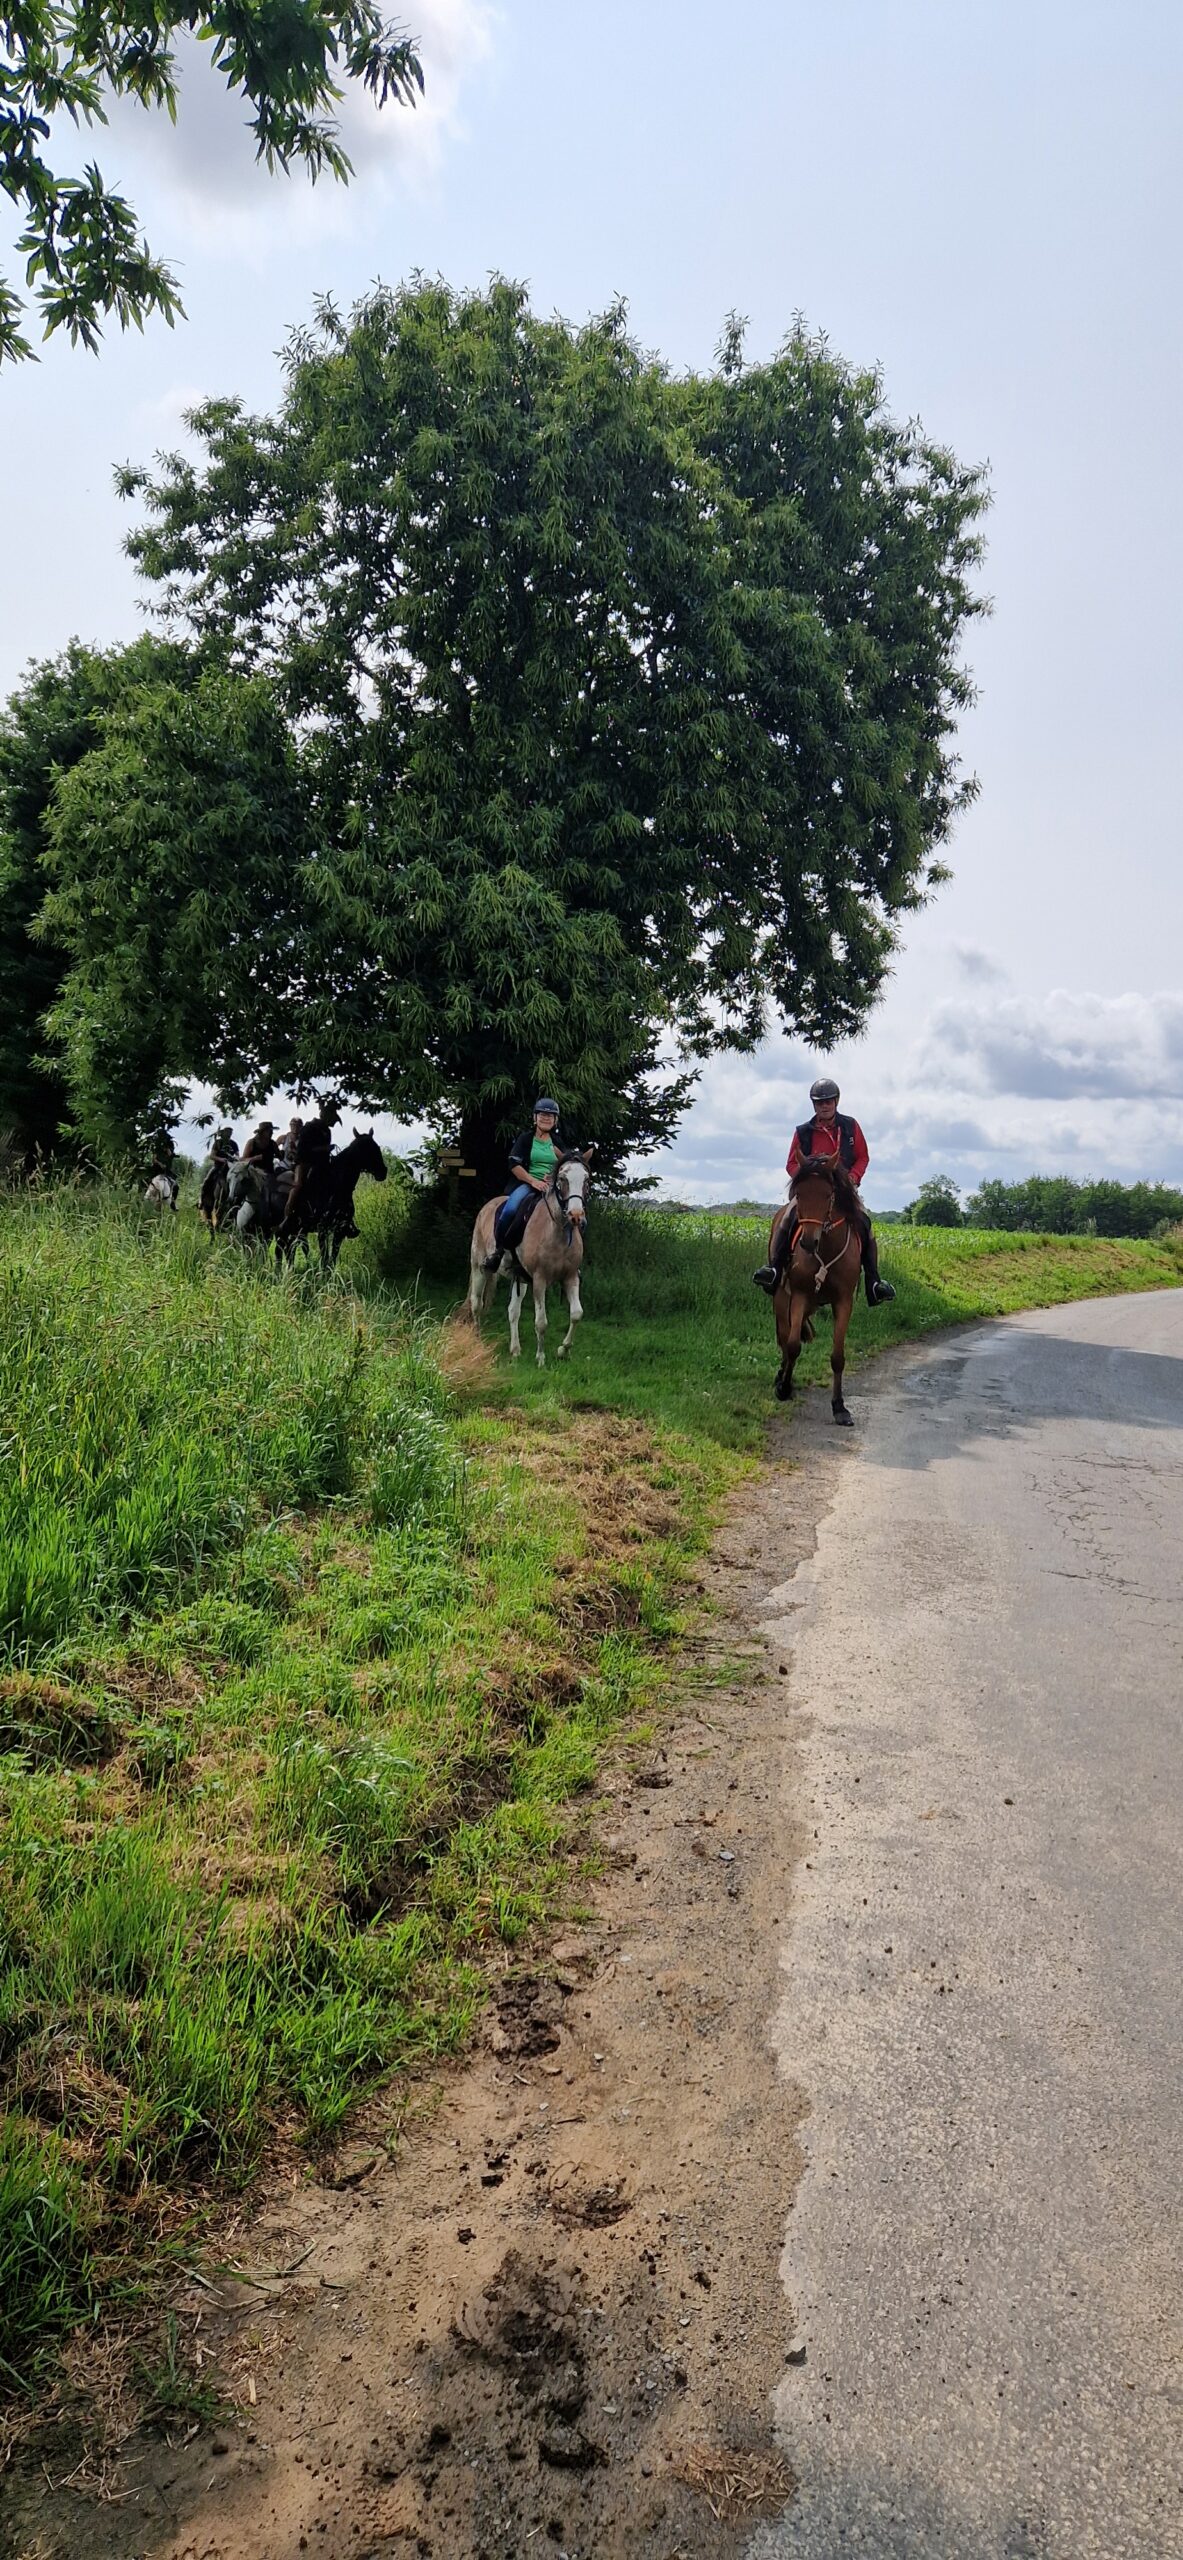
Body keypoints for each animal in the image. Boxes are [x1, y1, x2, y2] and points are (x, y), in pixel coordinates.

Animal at [276, 1129, 387, 1264]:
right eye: (366, 1149)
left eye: (377, 1147)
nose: (383, 1172)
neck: (336, 1184)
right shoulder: (322, 1230)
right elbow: (324, 1260)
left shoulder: (340, 1231)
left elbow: (332, 1261)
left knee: (288, 1249)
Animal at [468, 1154, 588, 1365]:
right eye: (563, 1178)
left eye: (586, 1179)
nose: (576, 1216)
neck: (556, 1230)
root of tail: (487, 1206)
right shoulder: (540, 1280)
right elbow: (541, 1322)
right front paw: (540, 1358)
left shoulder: (571, 1277)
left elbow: (576, 1314)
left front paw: (563, 1350)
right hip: (479, 1267)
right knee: (476, 1303)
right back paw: (478, 1339)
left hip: (520, 1279)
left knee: (513, 1311)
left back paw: (515, 1350)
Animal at [767, 1155, 864, 1425]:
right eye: (799, 1193)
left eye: (828, 1194)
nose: (808, 1242)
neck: (827, 1249)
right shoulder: (799, 1296)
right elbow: (792, 1346)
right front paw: (784, 1387)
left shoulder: (843, 1302)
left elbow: (838, 1356)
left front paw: (839, 1407)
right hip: (782, 1298)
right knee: (784, 1335)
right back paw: (781, 1376)